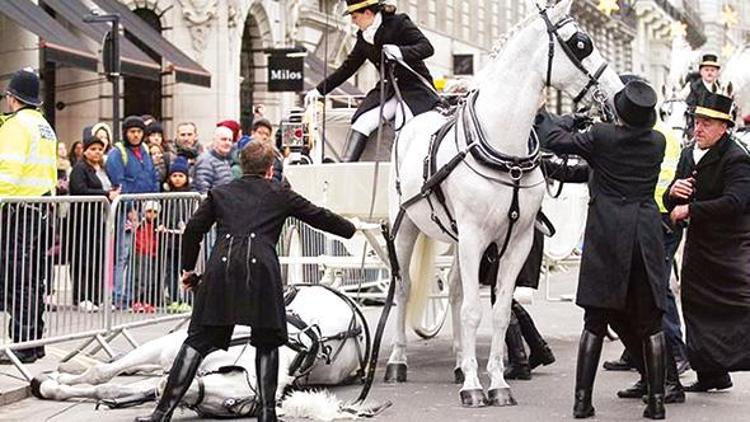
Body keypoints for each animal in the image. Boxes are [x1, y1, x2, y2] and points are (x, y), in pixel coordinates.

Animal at [31, 284, 374, 418]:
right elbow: (102, 374)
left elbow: (110, 388)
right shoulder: (166, 349)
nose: (161, 390)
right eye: (230, 372)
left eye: (231, 406)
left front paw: (52, 386)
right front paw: (57, 380)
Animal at [388, 0, 624, 408]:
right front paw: (473, 386)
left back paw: (458, 363)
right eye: (581, 43)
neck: (504, 144)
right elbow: (472, 311)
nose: (616, 92)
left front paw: (496, 382)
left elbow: (499, 312)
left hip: (455, 238)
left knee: (454, 290)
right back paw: (398, 362)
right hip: (408, 228)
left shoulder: (517, 241)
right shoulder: (473, 237)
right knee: (404, 288)